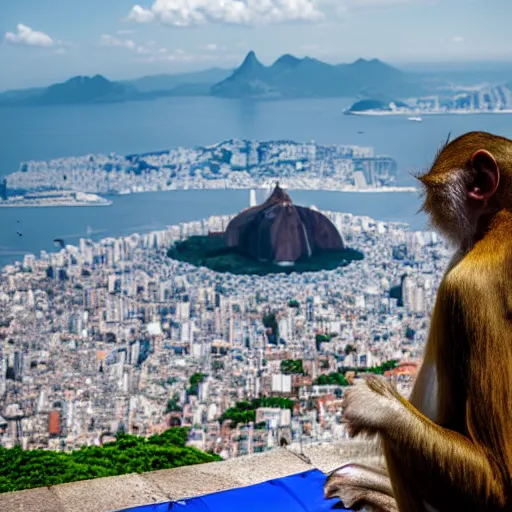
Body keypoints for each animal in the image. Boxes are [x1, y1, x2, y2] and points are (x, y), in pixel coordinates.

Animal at [324, 133, 512, 512]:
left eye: (433, 193)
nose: (426, 209)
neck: (501, 222)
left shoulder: (470, 288)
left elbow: (498, 475)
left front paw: (375, 405)